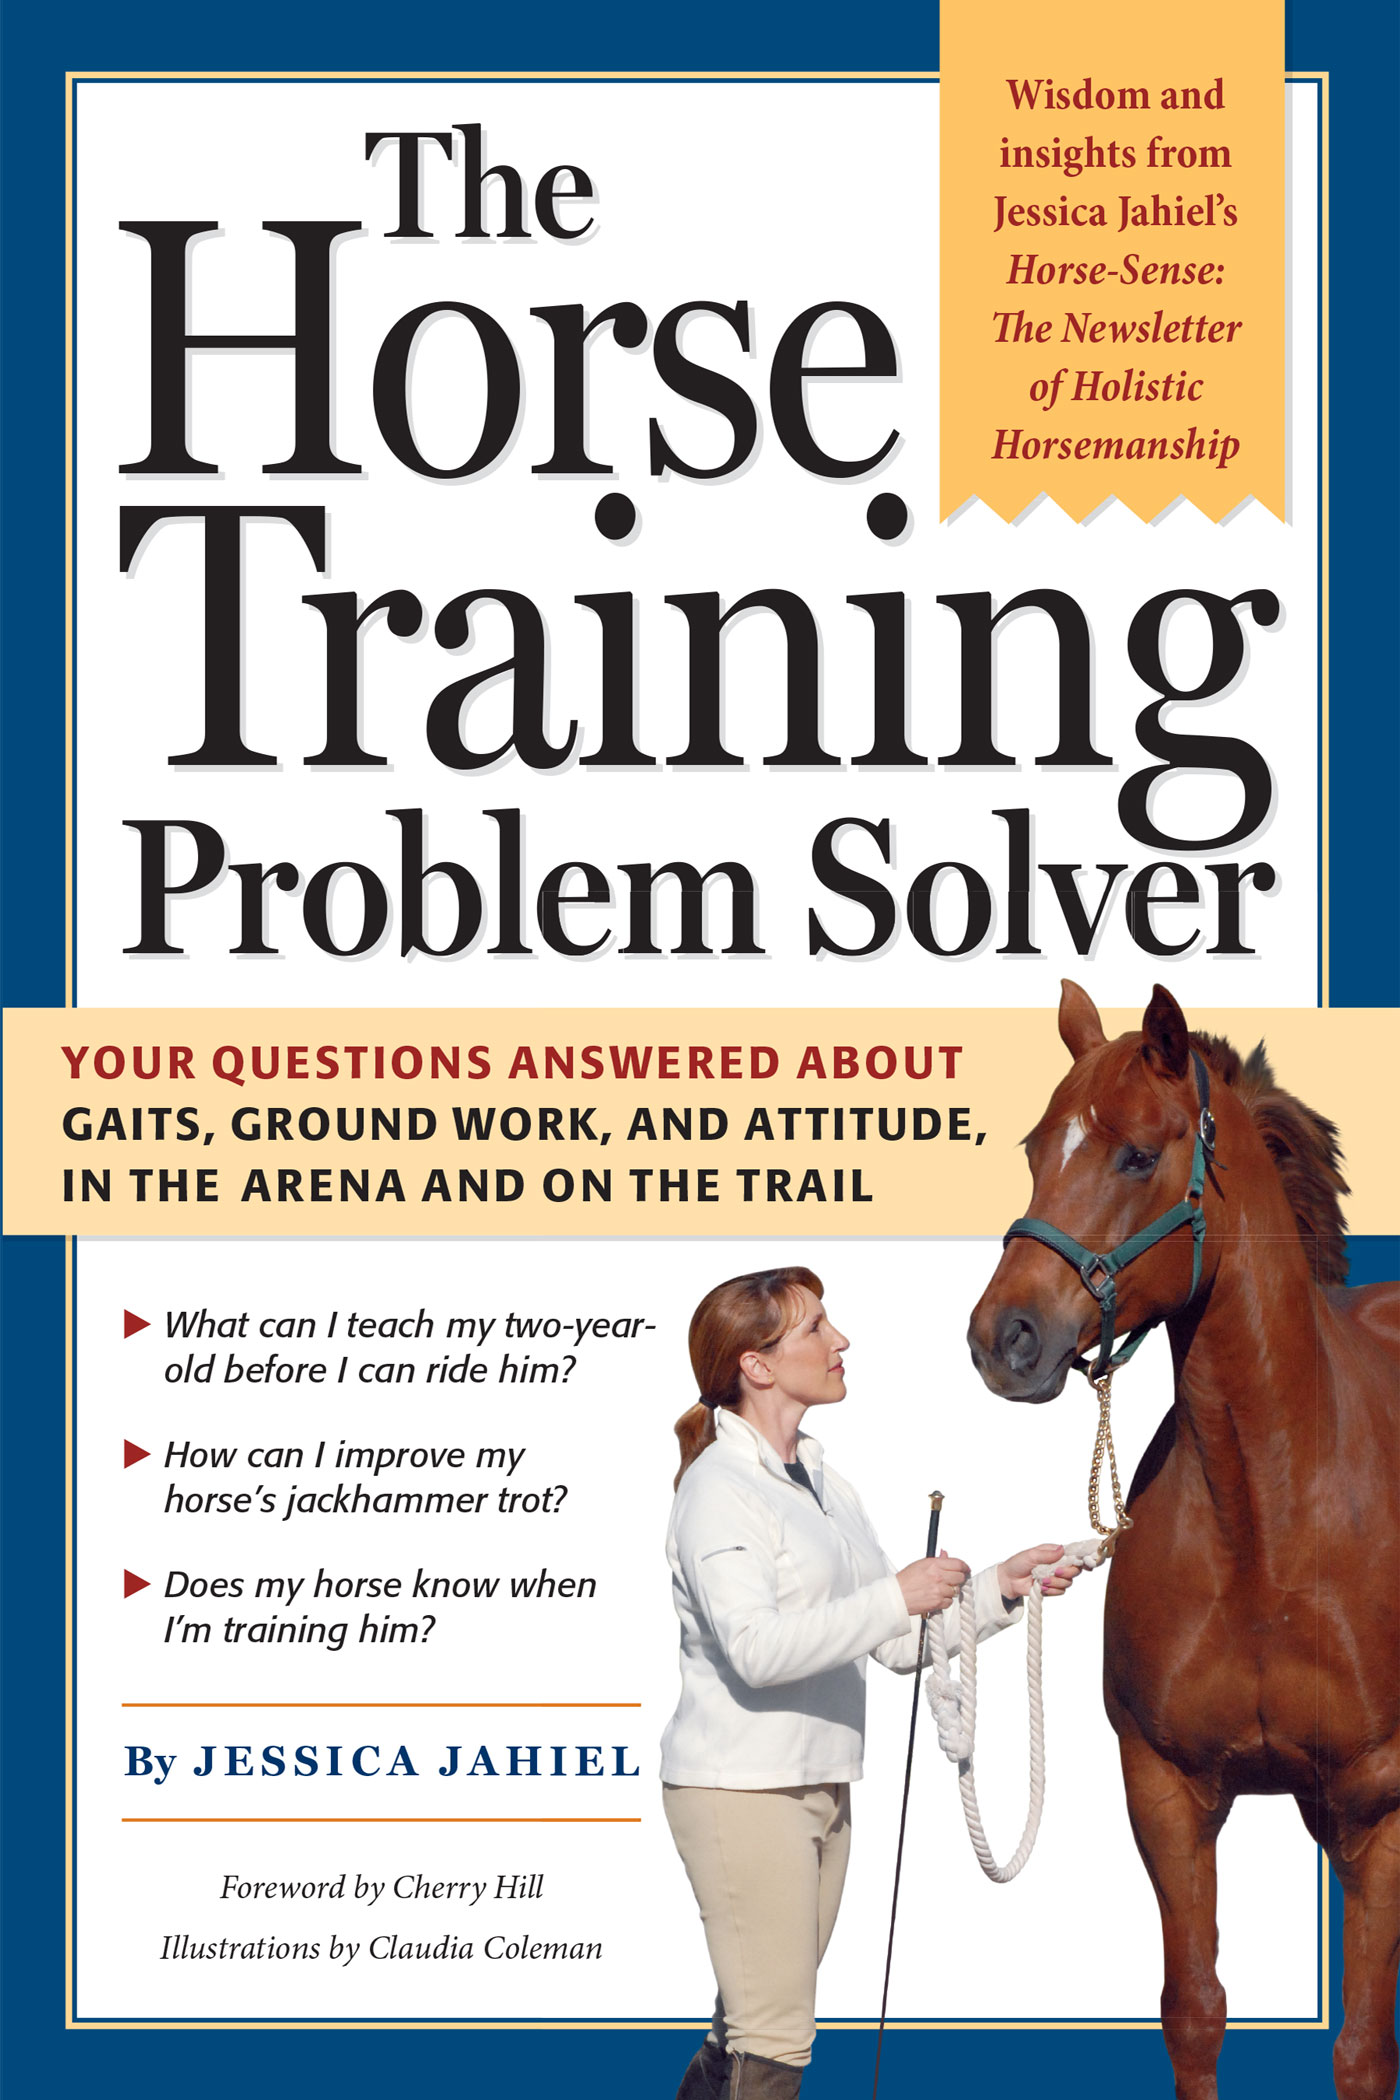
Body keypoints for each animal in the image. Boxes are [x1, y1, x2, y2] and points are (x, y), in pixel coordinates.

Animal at [967, 980, 1400, 2100]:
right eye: (1036, 1147)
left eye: (1135, 1154)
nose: (1002, 1340)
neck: (1268, 1527)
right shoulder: (1166, 1792)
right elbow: (1194, 2009)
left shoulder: (1378, 1806)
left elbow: (1363, 2049)